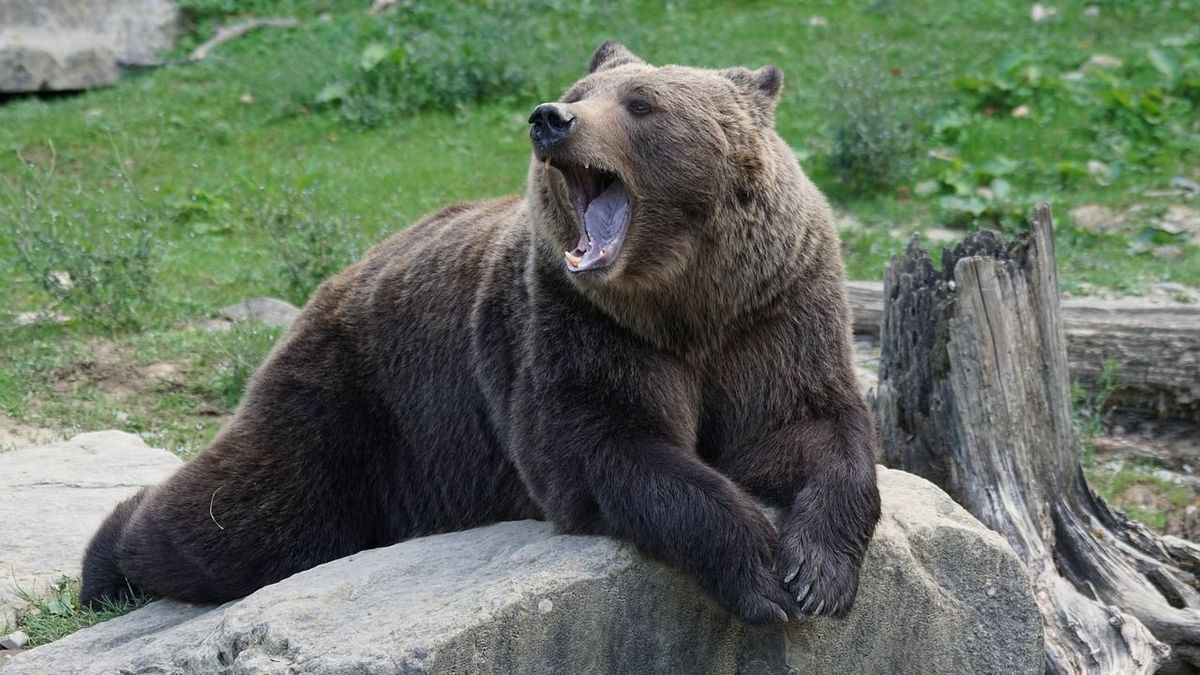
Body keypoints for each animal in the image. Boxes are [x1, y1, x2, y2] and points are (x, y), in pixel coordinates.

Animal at [79, 40, 878, 619]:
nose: (550, 117)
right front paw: (760, 574)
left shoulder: (774, 310)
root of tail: (338, 278)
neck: (683, 299)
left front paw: (815, 575)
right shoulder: (576, 325)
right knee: (250, 518)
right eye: (582, 94)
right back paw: (107, 563)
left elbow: (809, 427)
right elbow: (609, 445)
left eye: (642, 103)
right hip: (360, 403)